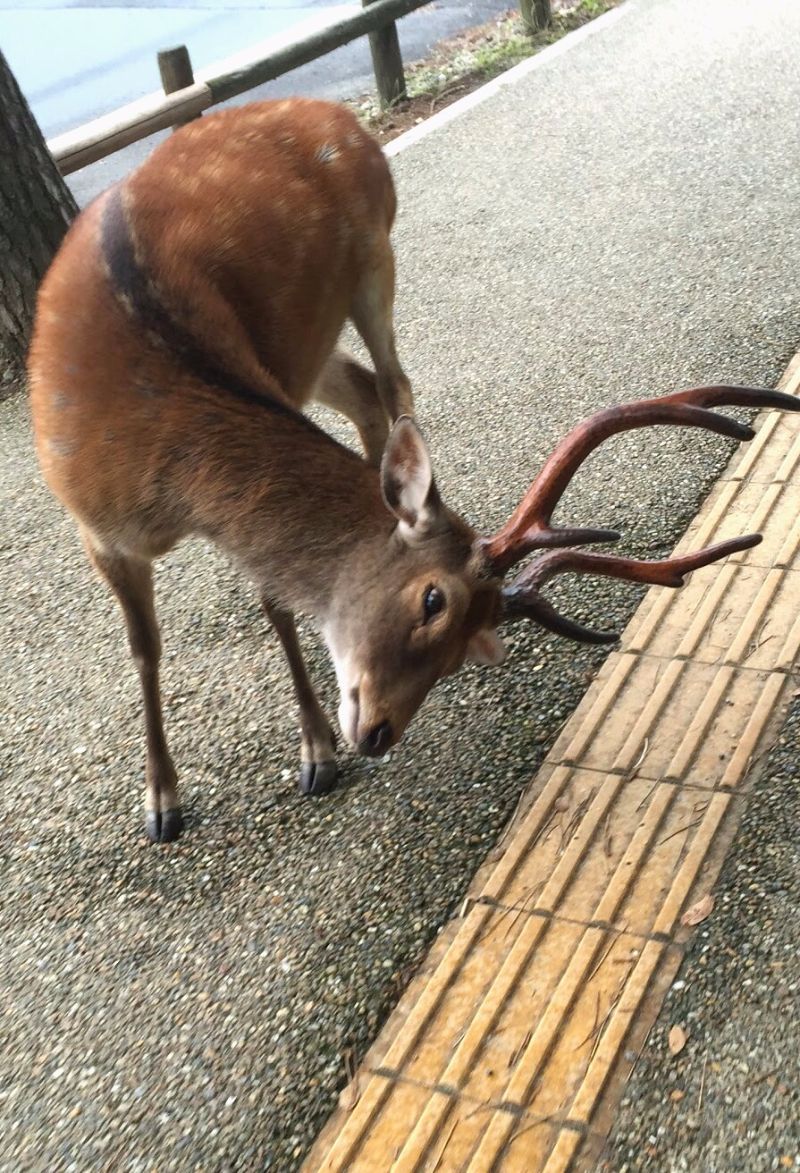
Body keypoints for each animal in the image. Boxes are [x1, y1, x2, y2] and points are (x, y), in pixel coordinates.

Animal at [28, 98, 800, 843]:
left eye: (462, 654)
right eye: (433, 601)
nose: (378, 733)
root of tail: (336, 113)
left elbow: (275, 598)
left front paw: (315, 754)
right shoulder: (96, 526)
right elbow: (144, 648)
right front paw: (161, 803)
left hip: (374, 260)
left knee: (391, 382)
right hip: (324, 331)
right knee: (370, 386)